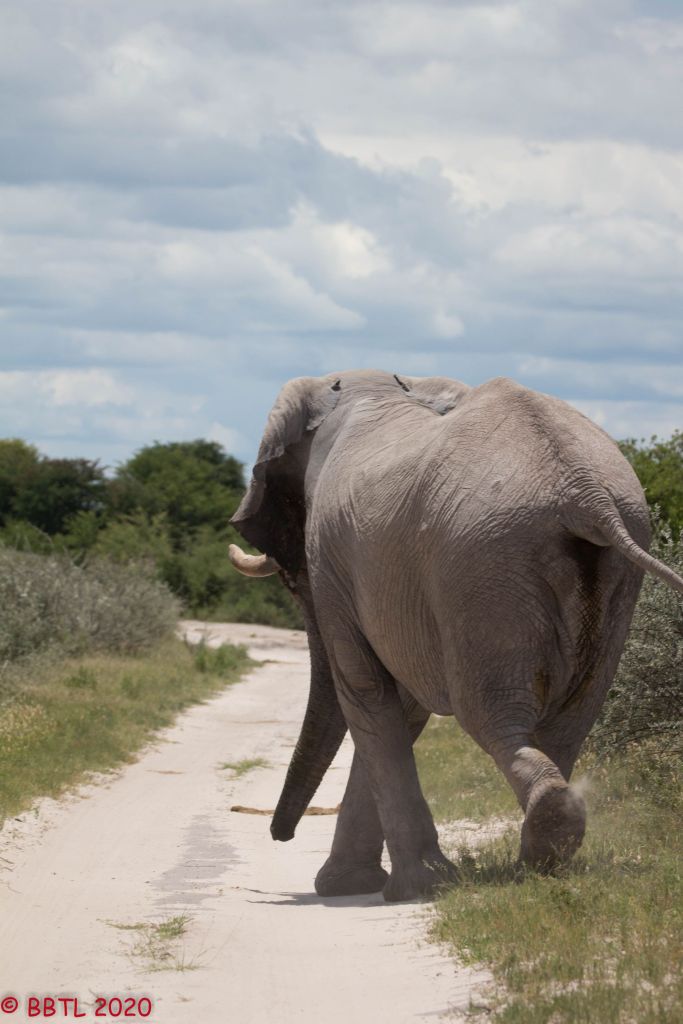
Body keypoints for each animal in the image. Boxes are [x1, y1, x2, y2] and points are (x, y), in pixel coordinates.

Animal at [228, 370, 683, 902]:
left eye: (291, 577)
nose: (279, 835)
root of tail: (585, 493)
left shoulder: (333, 562)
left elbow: (367, 691)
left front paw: (399, 888)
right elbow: (401, 705)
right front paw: (356, 885)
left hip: (482, 565)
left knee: (489, 714)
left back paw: (534, 840)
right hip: (595, 574)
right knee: (570, 721)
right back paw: (541, 858)